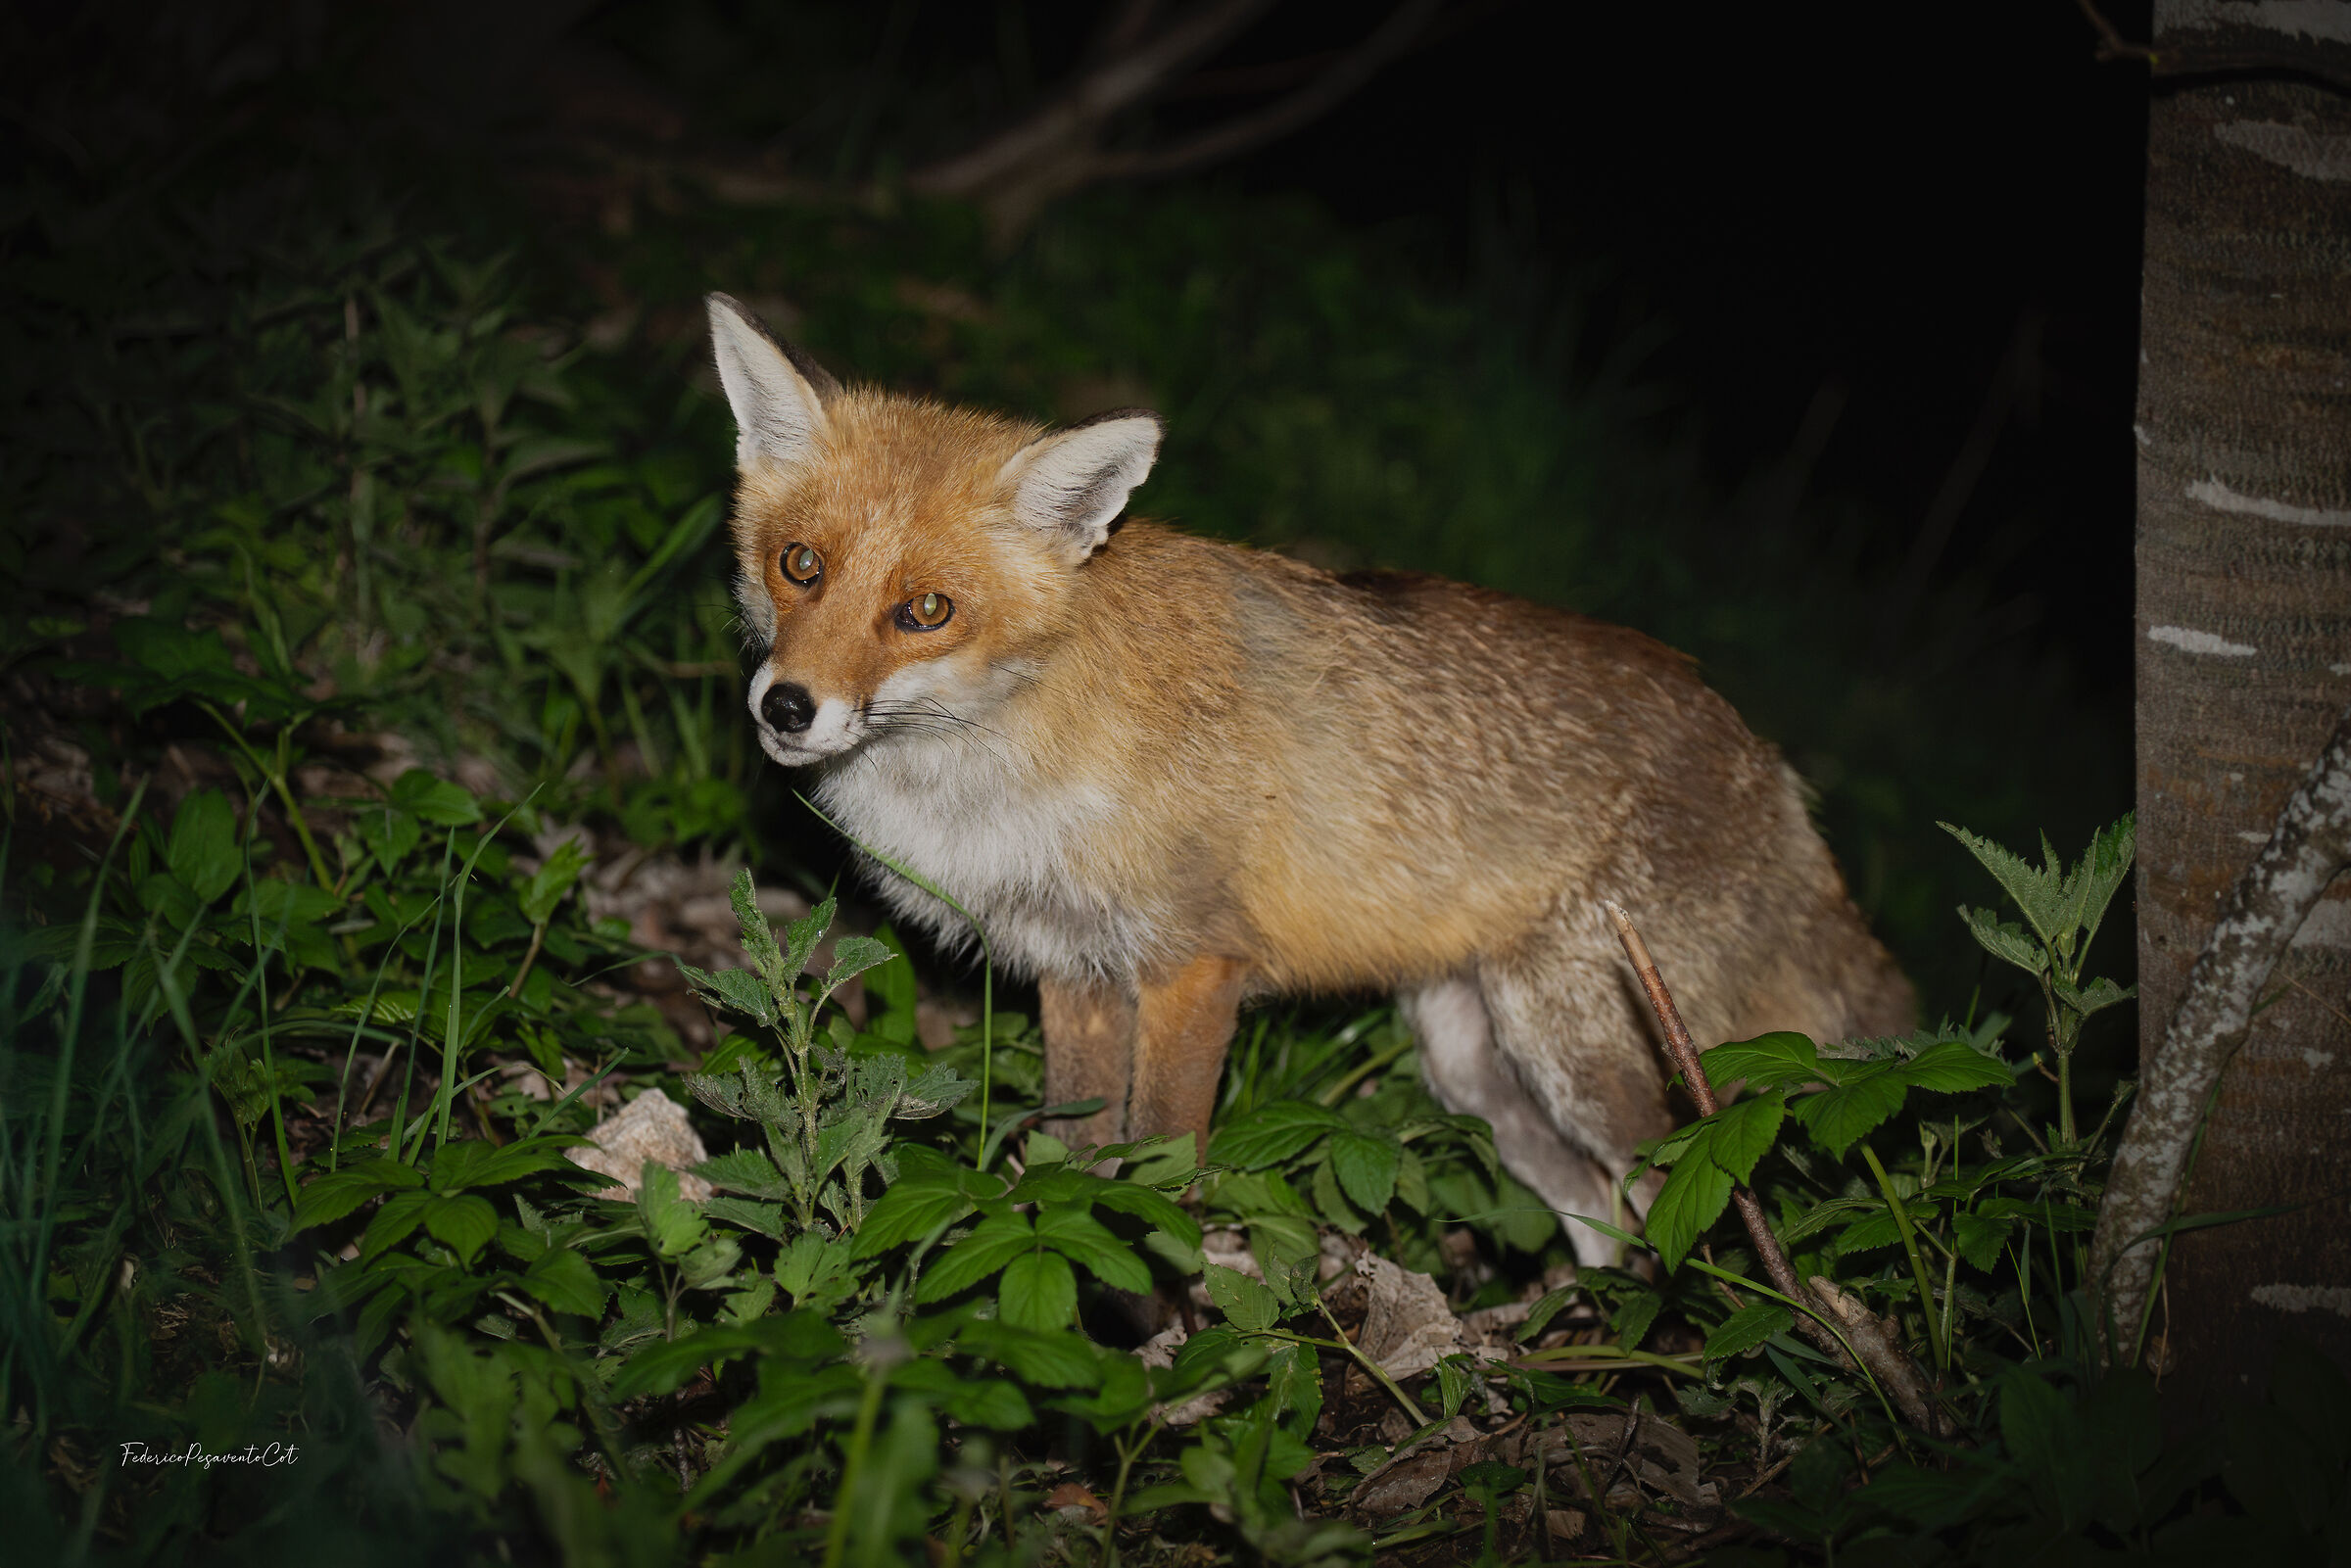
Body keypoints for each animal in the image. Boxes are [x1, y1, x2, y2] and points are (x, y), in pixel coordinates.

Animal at [704, 291, 1914, 1262]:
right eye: (799, 565)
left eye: (925, 611)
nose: (787, 706)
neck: (1005, 744)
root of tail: (1766, 763)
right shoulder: (1077, 967)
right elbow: (1078, 1158)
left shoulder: (1195, 963)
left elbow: (1162, 1167)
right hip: (1476, 1067)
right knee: (1607, 1220)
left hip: (1592, 1047)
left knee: (1682, 1205)